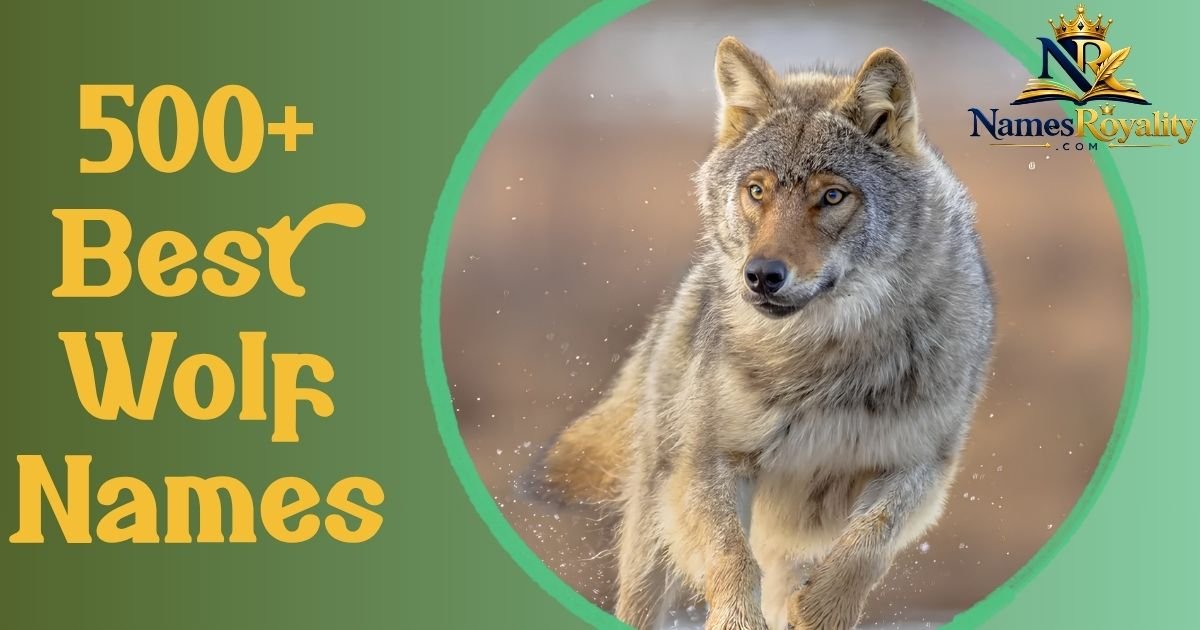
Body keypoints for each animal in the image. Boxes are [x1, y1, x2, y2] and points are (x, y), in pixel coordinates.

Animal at [542, 37, 995, 630]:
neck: (821, 360)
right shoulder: (712, 462)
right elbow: (731, 556)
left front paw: (821, 611)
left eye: (832, 196)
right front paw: (737, 619)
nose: (760, 275)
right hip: (655, 533)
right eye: (757, 190)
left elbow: (866, 545)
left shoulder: (918, 466)